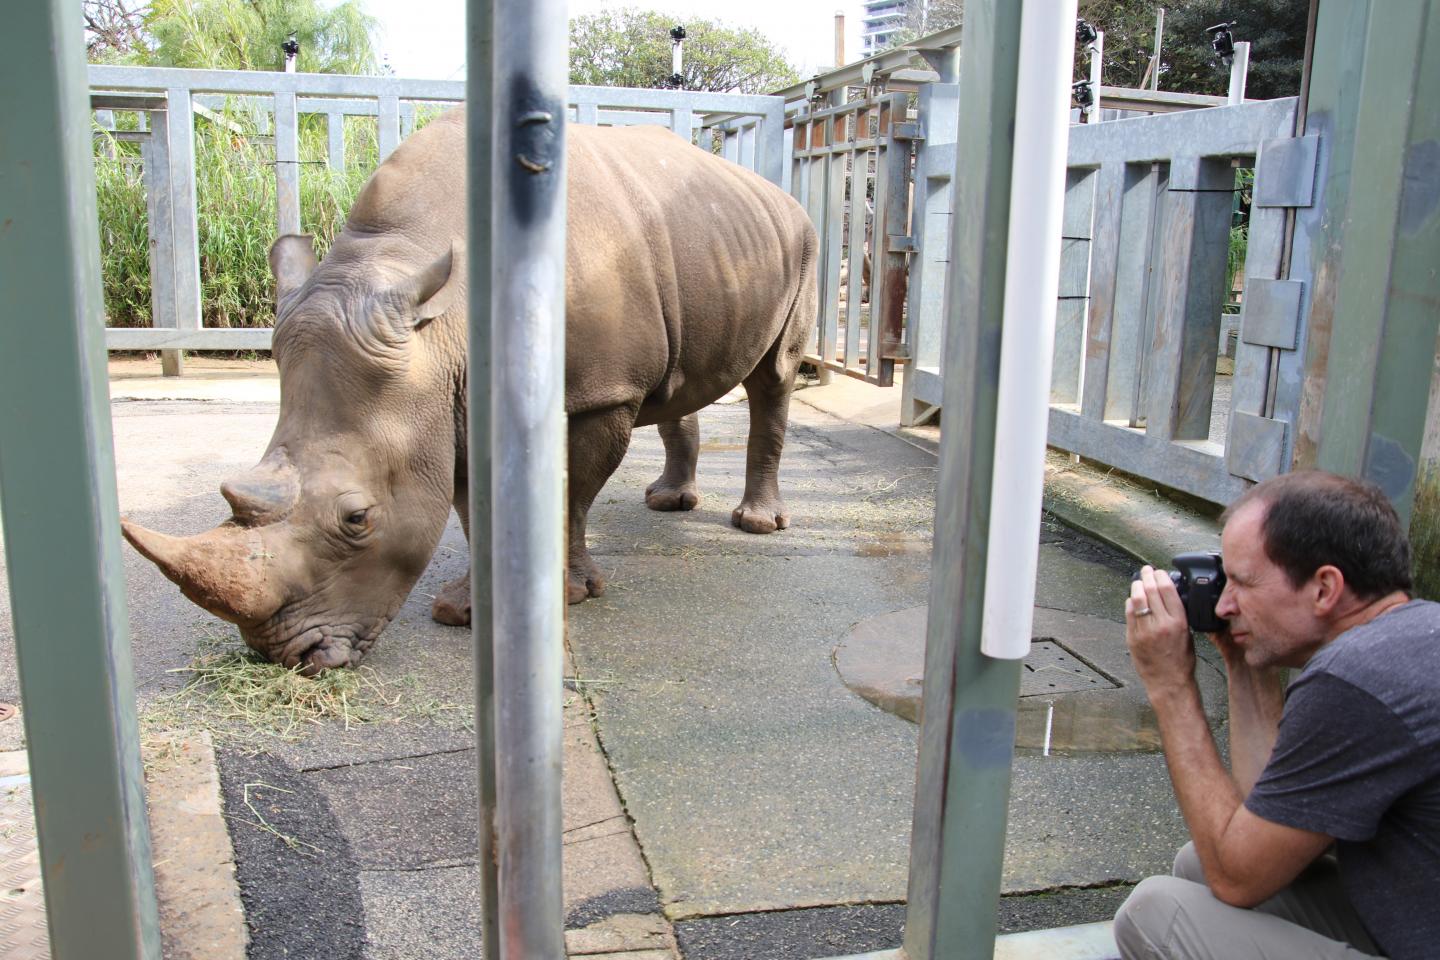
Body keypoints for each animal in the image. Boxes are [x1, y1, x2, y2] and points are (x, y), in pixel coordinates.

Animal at [121, 111, 818, 673]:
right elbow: (466, 504)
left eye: (358, 519)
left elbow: (568, 496)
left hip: (802, 239)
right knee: (681, 379)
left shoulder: (596, 392)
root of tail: (774, 190)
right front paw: (466, 613)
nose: (287, 656)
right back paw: (669, 502)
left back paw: (758, 523)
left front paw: (566, 597)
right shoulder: (441, 397)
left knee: (775, 376)